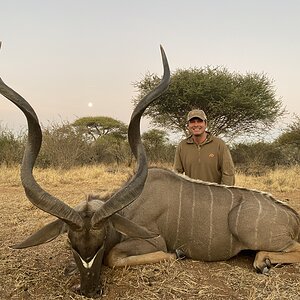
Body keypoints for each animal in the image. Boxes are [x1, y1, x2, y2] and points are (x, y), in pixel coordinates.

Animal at [1, 46, 300, 298]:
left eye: (101, 241)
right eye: (72, 244)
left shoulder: (151, 242)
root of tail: (292, 216)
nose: (90, 290)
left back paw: (263, 261)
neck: (129, 211)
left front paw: (177, 254)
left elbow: (118, 257)